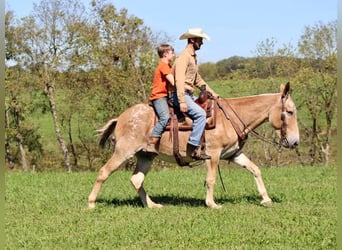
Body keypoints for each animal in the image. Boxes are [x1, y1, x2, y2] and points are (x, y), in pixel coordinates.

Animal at [87, 82, 300, 209]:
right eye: (289, 112)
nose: (295, 141)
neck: (230, 117)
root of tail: (121, 117)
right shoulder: (213, 154)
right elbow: (211, 179)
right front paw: (212, 204)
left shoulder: (233, 154)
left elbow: (255, 170)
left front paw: (266, 199)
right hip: (123, 151)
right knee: (104, 172)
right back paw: (91, 203)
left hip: (146, 155)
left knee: (137, 180)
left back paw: (152, 205)